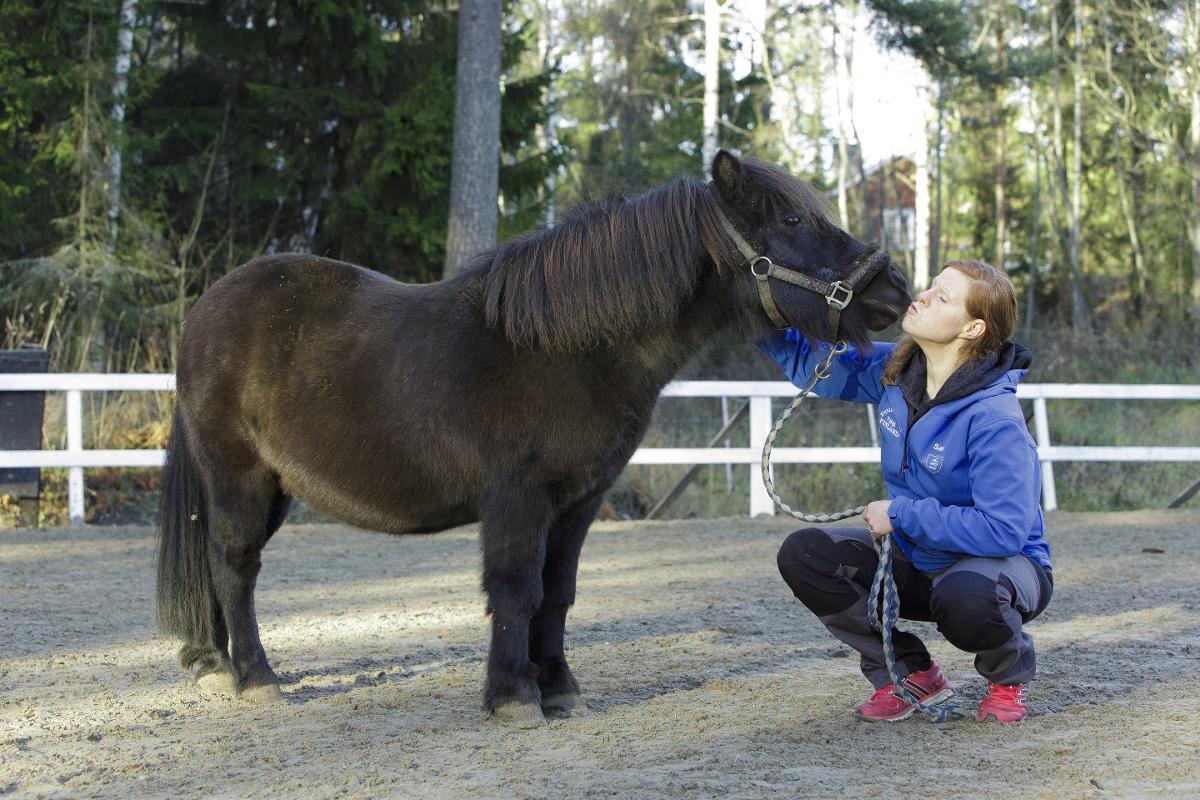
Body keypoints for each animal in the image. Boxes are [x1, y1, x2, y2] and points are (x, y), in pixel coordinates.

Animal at [159, 149, 907, 724]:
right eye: (791, 220)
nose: (892, 288)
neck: (565, 350)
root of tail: (204, 310)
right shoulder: (518, 498)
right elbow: (516, 587)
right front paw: (513, 697)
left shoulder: (577, 502)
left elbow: (558, 591)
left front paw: (559, 689)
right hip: (238, 478)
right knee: (233, 564)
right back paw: (255, 679)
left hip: (275, 489)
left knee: (222, 564)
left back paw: (217, 664)